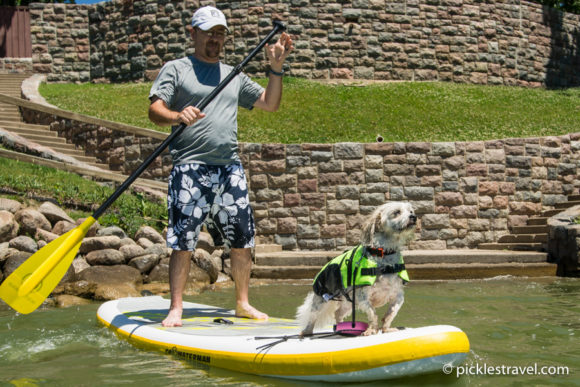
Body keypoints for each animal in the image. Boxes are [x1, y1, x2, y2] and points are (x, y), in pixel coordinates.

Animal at [296, 203, 414, 336]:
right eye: (397, 212)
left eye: (411, 211)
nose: (413, 217)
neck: (385, 254)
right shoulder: (362, 296)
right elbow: (372, 312)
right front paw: (371, 329)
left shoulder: (398, 295)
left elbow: (392, 312)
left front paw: (386, 328)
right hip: (321, 300)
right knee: (313, 317)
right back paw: (307, 331)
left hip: (348, 303)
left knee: (338, 313)